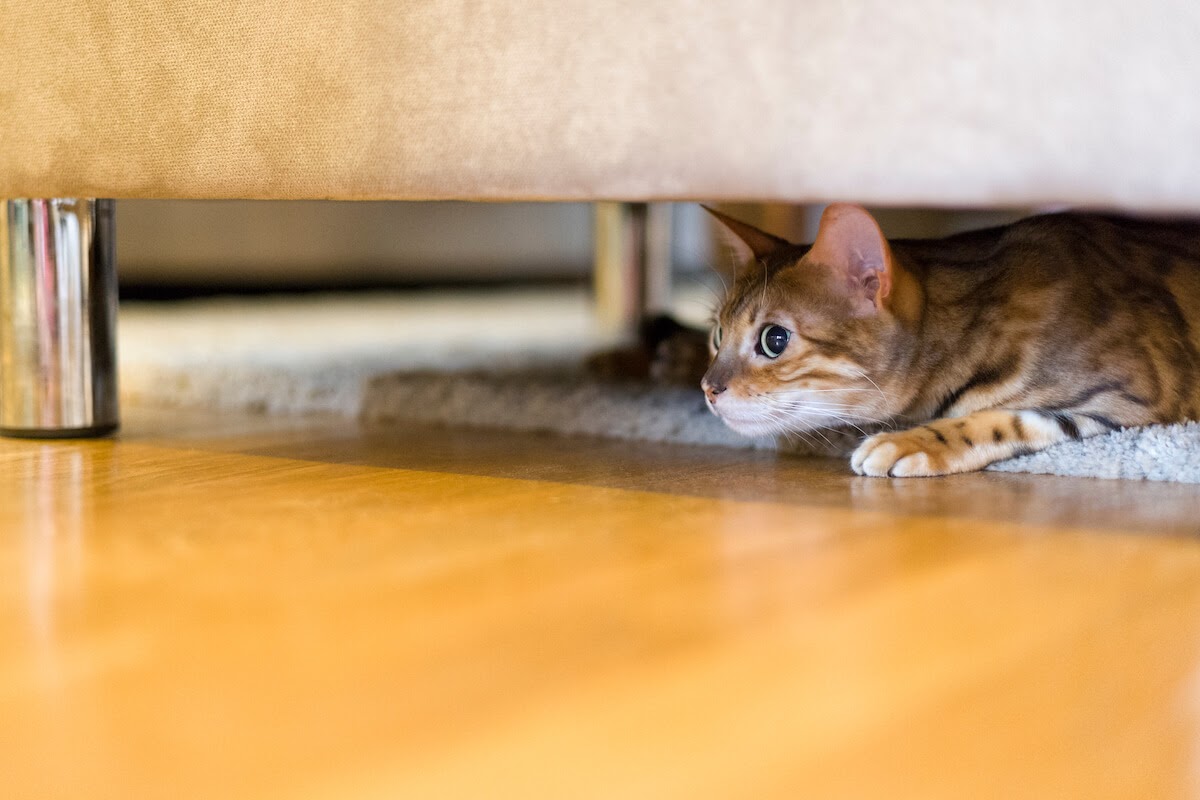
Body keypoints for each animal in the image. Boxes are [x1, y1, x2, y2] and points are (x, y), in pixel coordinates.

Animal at [681, 205, 1200, 474]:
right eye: (718, 334)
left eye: (774, 339)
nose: (708, 388)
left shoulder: (1137, 397)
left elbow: (1004, 420)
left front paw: (910, 442)